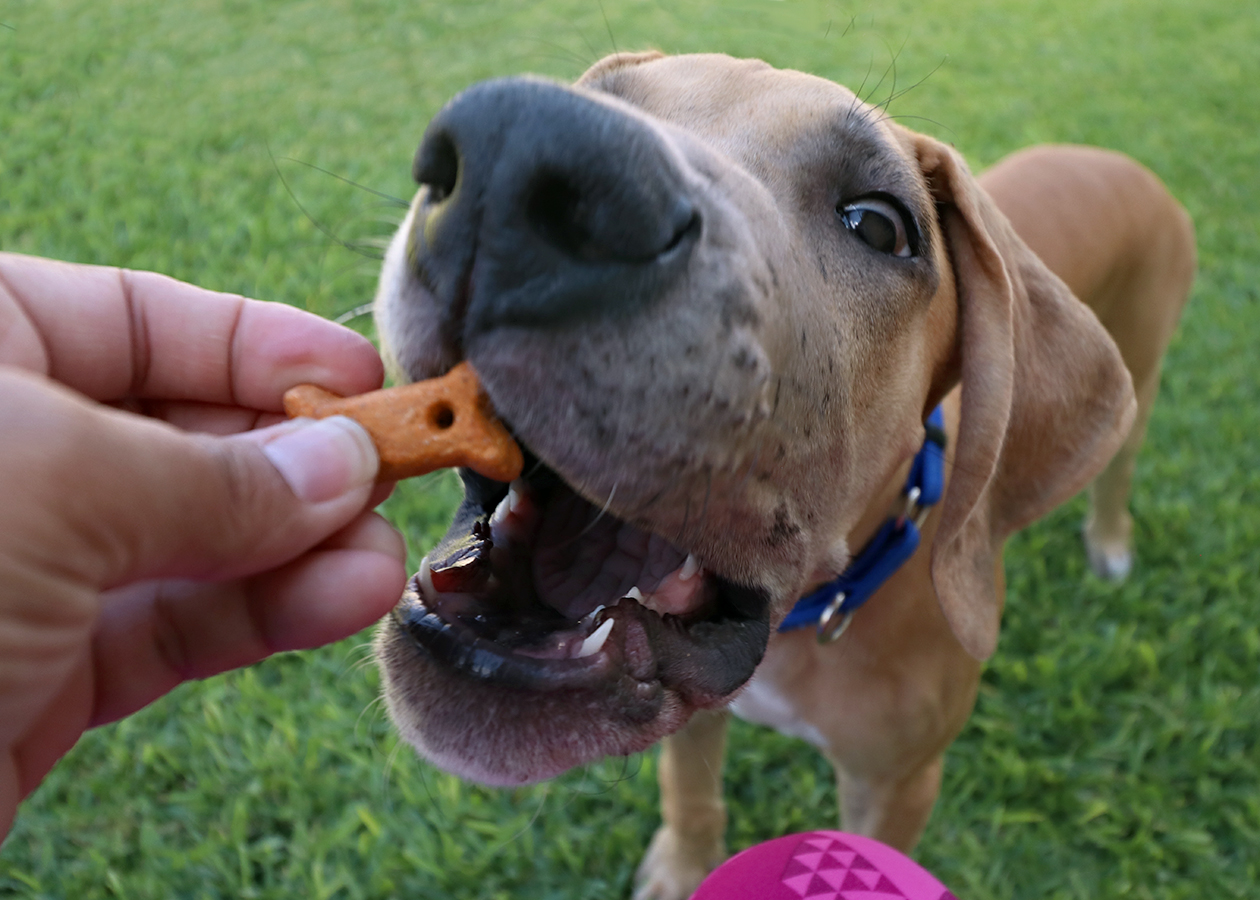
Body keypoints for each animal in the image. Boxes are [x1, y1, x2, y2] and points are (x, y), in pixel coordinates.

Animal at [367, 50, 1194, 897]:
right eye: (594, 96)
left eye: (879, 224)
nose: (518, 146)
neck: (806, 620)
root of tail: (1123, 163)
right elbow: (691, 792)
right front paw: (683, 867)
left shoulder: (899, 784)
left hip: (1143, 375)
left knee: (1118, 474)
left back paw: (1111, 541)